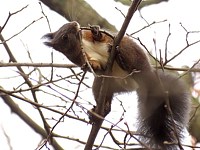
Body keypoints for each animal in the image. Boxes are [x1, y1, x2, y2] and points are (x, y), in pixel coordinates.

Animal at [43, 20, 191, 149]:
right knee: (105, 99)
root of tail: (145, 79)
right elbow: (89, 64)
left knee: (122, 53)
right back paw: (100, 111)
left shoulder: (89, 35)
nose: (75, 23)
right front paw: (93, 64)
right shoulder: (78, 57)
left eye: (67, 24)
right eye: (64, 36)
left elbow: (101, 37)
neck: (81, 42)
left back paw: (120, 59)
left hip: (129, 50)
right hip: (106, 83)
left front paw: (96, 31)